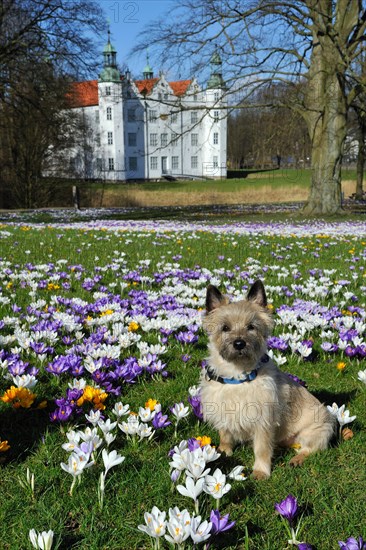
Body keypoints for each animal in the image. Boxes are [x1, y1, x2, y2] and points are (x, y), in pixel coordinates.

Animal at [202, 282, 336, 480]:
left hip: (315, 432)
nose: (239, 343)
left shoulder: (263, 421)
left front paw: (260, 471)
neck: (238, 377)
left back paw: (296, 460)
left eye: (251, 327)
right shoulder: (223, 412)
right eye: (225, 327)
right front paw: (223, 452)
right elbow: (225, 436)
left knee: (308, 449)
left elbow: (262, 448)